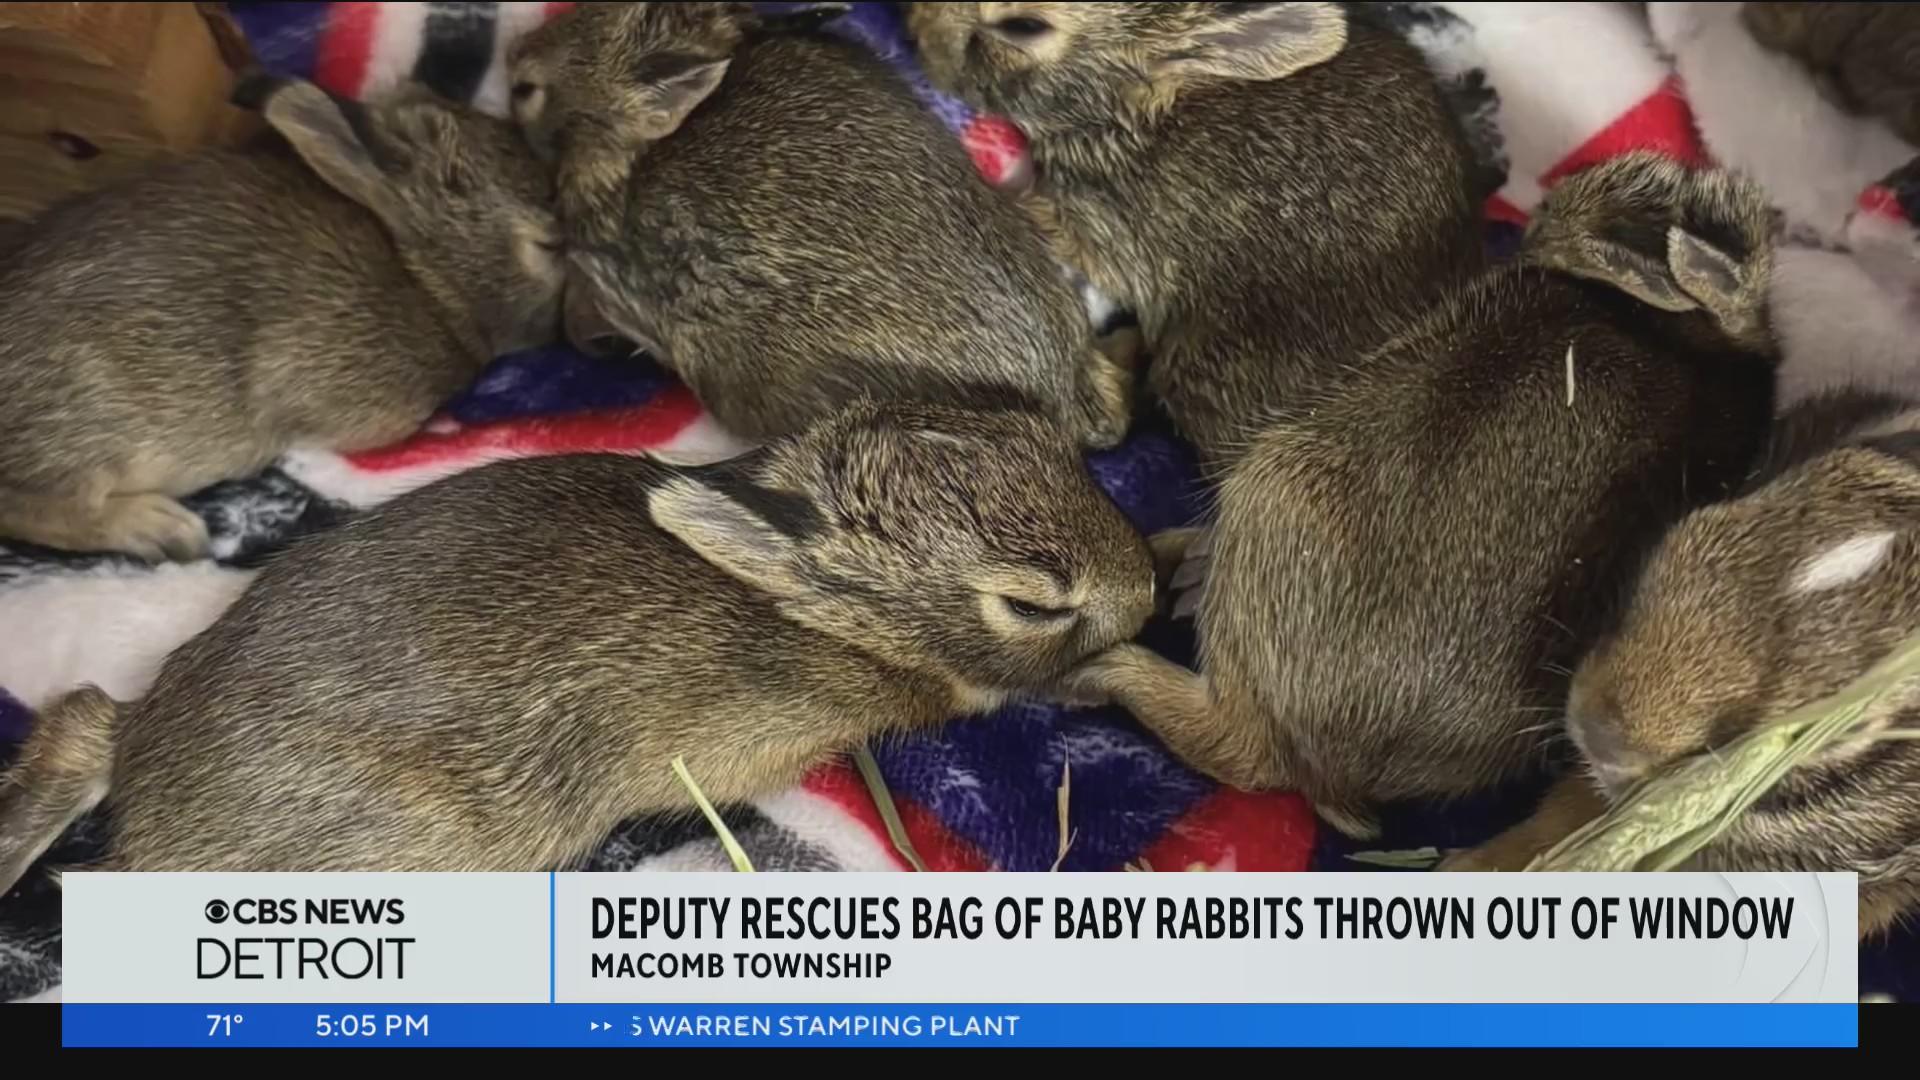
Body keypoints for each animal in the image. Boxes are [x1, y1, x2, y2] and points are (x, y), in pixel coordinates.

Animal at [1058, 153, 1781, 838]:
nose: (1539, 218)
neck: (1692, 338)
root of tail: (1334, 771)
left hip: (1270, 488)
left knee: (1234, 744)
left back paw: (1110, 658)